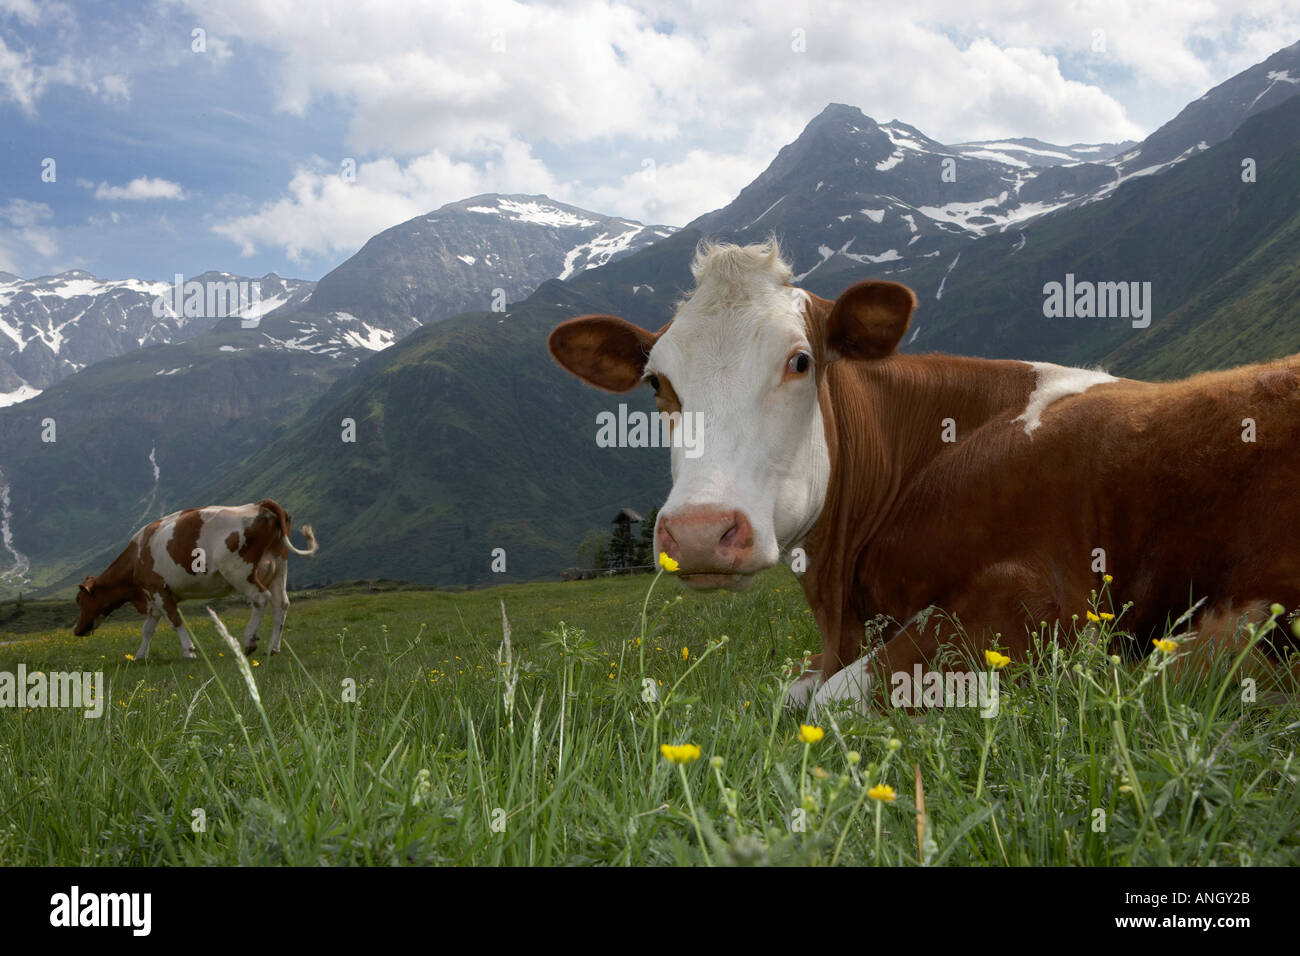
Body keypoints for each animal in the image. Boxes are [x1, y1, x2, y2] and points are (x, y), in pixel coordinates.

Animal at [73, 499, 318, 659]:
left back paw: (249, 641)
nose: (76, 630)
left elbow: (175, 621)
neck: (136, 557)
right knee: (281, 605)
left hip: (239, 571)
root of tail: (259, 505)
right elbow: (147, 628)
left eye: (80, 600)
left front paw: (188, 650)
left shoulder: (158, 591)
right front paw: (141, 655)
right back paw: (272, 648)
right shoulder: (152, 596)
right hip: (278, 568)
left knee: (260, 599)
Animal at [547, 239, 1300, 716]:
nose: (701, 532)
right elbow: (791, 691)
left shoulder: (1042, 600)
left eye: (799, 361)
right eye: (657, 385)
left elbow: (834, 699)